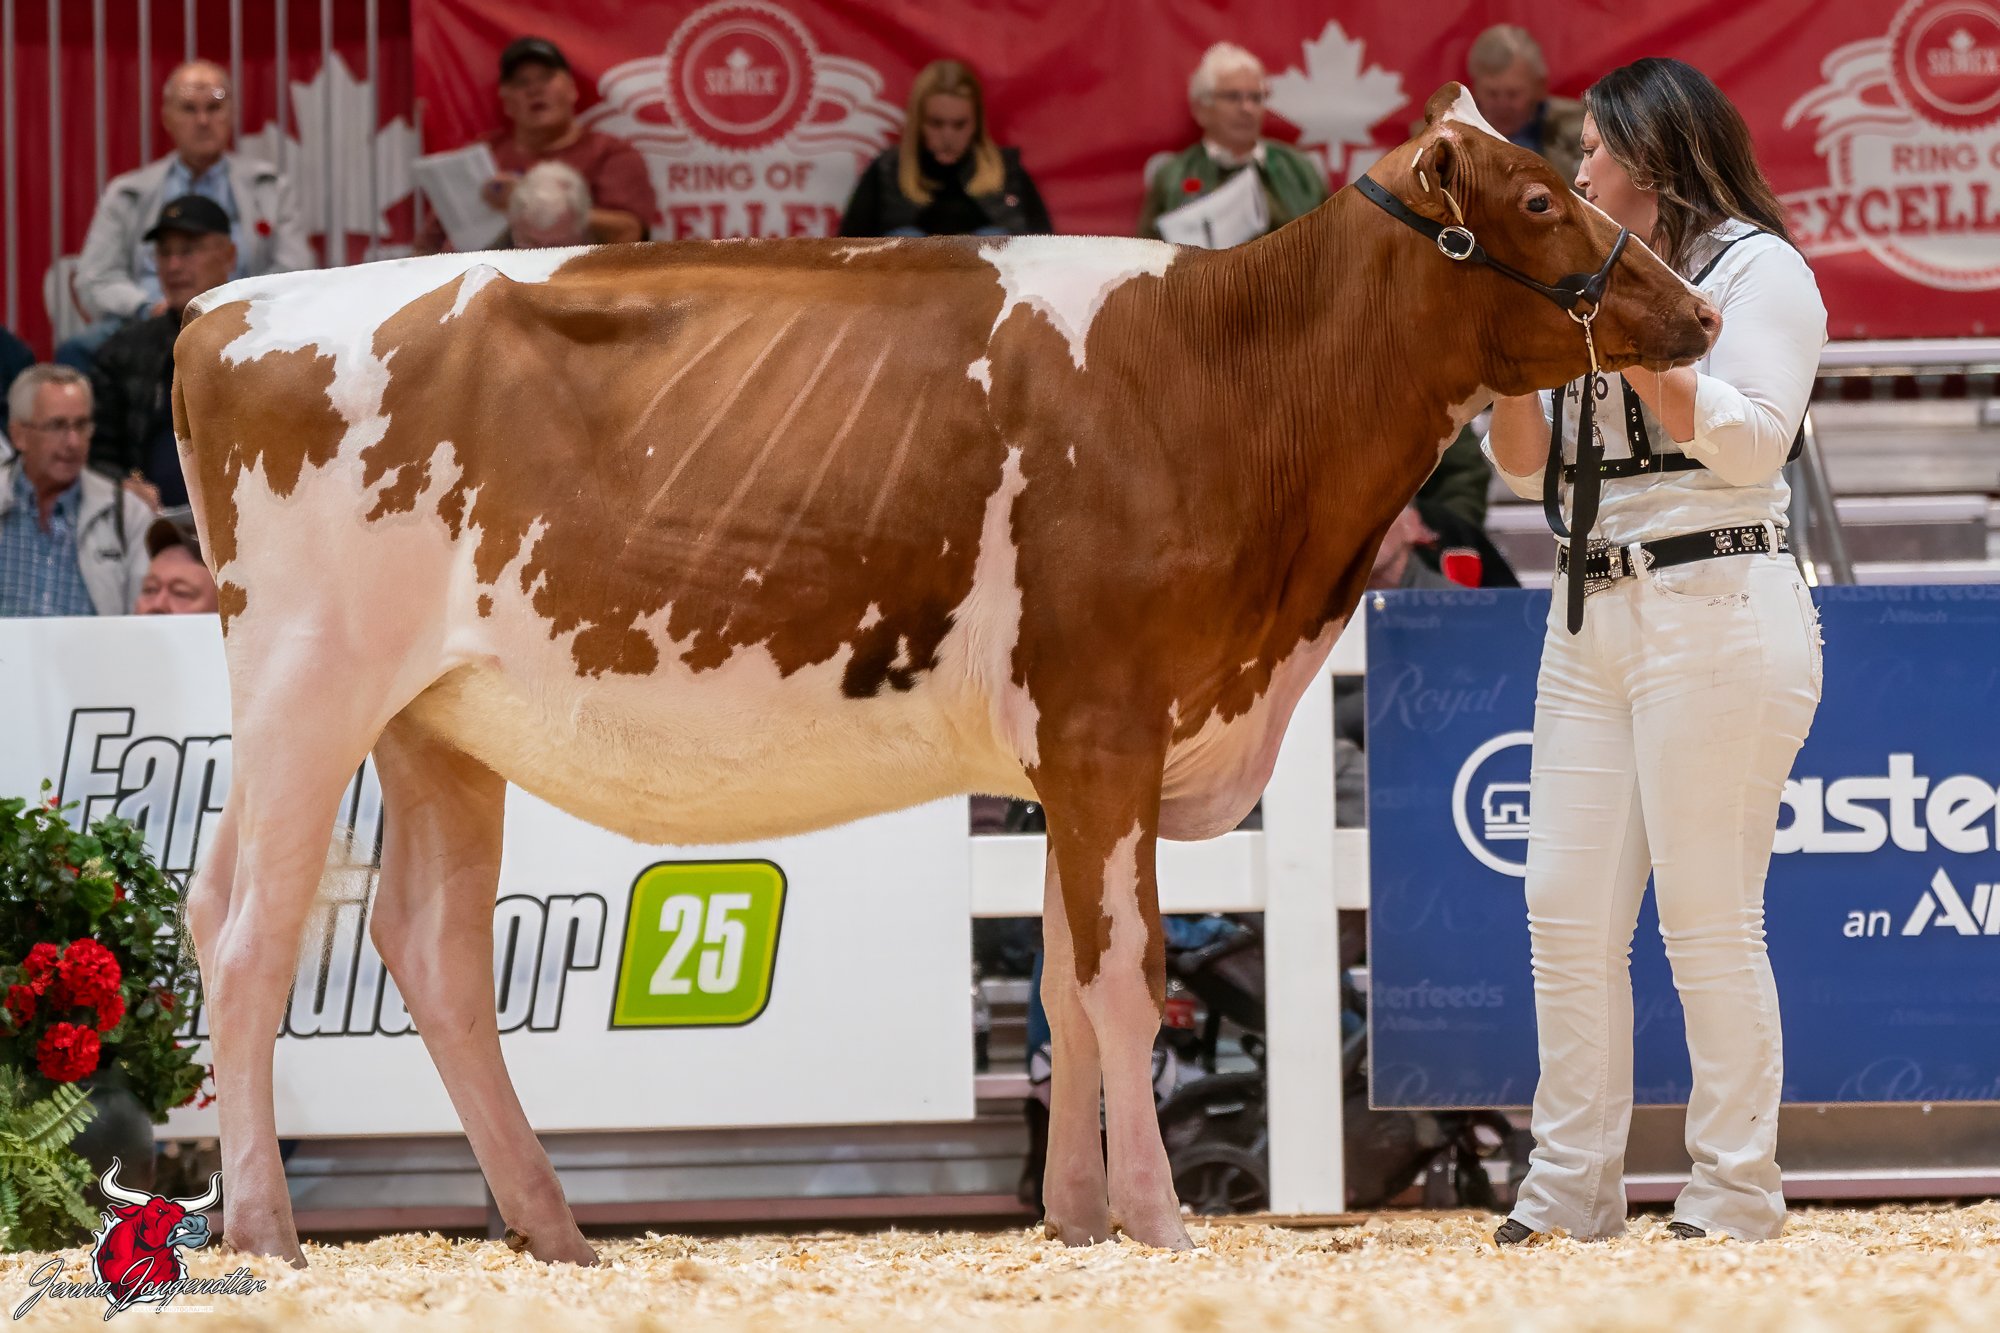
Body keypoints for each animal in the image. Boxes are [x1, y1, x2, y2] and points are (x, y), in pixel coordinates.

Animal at [173, 85, 1716, 1267]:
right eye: (1538, 204)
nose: (1696, 314)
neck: (1215, 381)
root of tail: (228, 305)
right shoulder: (1103, 720)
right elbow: (1125, 976)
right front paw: (1161, 1219)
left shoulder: (1077, 752)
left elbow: (1065, 982)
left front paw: (1079, 1220)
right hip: (311, 682)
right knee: (250, 936)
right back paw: (266, 1233)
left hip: (435, 722)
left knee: (423, 945)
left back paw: (553, 1233)